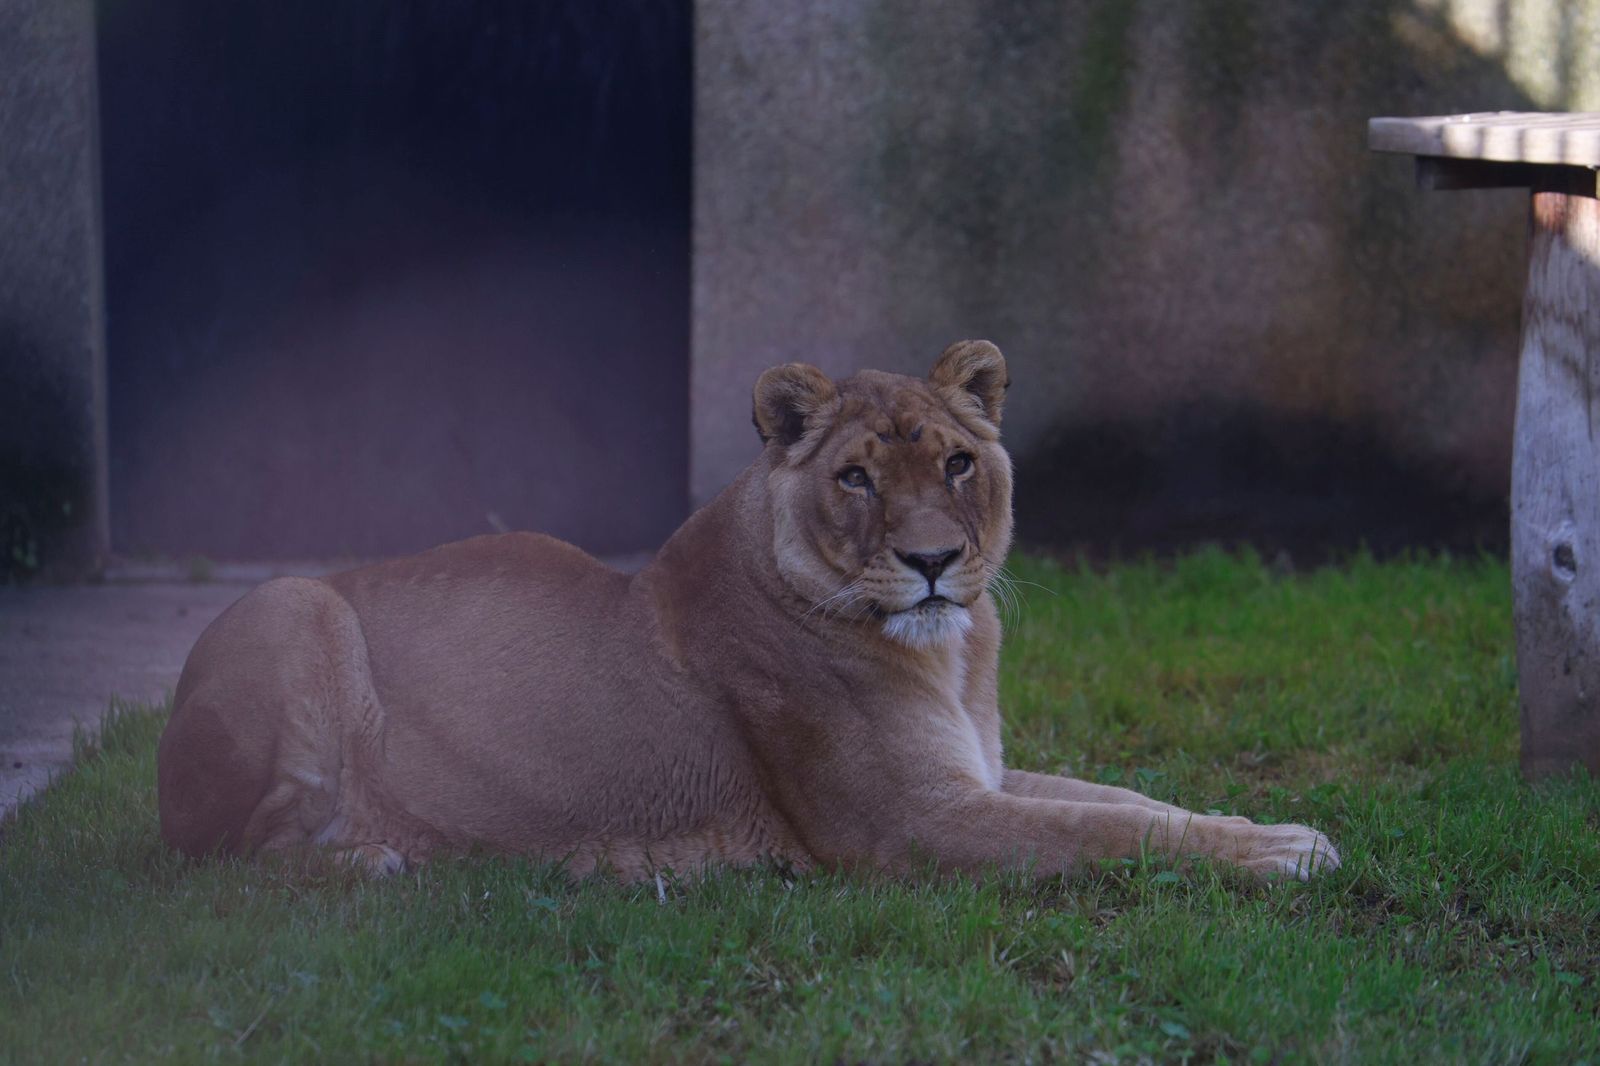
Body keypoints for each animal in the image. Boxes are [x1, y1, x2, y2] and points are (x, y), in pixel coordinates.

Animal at [157, 341, 1339, 881]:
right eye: (856, 478)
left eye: (958, 463)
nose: (932, 561)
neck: (952, 653)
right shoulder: (909, 825)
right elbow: (1101, 833)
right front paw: (1274, 856)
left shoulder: (980, 772)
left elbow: (1126, 799)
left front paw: (1274, 828)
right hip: (295, 603)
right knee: (225, 858)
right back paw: (370, 860)